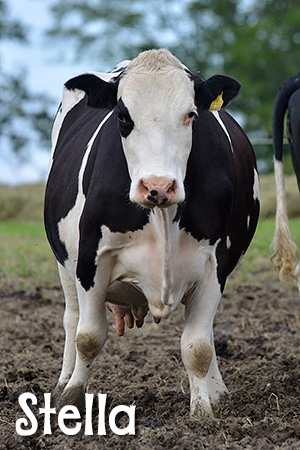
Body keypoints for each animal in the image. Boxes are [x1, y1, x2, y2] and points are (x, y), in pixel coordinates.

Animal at [44, 49, 260, 418]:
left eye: (191, 114)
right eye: (122, 116)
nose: (158, 186)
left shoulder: (214, 264)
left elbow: (198, 345)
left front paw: (203, 411)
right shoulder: (91, 258)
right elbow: (88, 336)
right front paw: (71, 398)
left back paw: (218, 392)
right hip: (64, 264)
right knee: (71, 319)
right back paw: (62, 383)